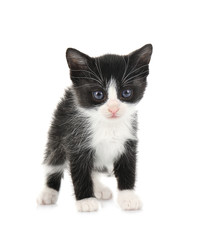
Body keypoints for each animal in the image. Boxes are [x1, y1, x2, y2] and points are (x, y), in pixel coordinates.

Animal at [37, 43, 153, 212]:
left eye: (126, 92)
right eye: (98, 94)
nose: (113, 109)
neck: (107, 125)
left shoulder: (129, 140)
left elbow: (127, 168)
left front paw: (128, 197)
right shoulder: (76, 140)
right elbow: (80, 171)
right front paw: (86, 201)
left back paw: (98, 188)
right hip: (58, 130)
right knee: (54, 160)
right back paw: (48, 193)